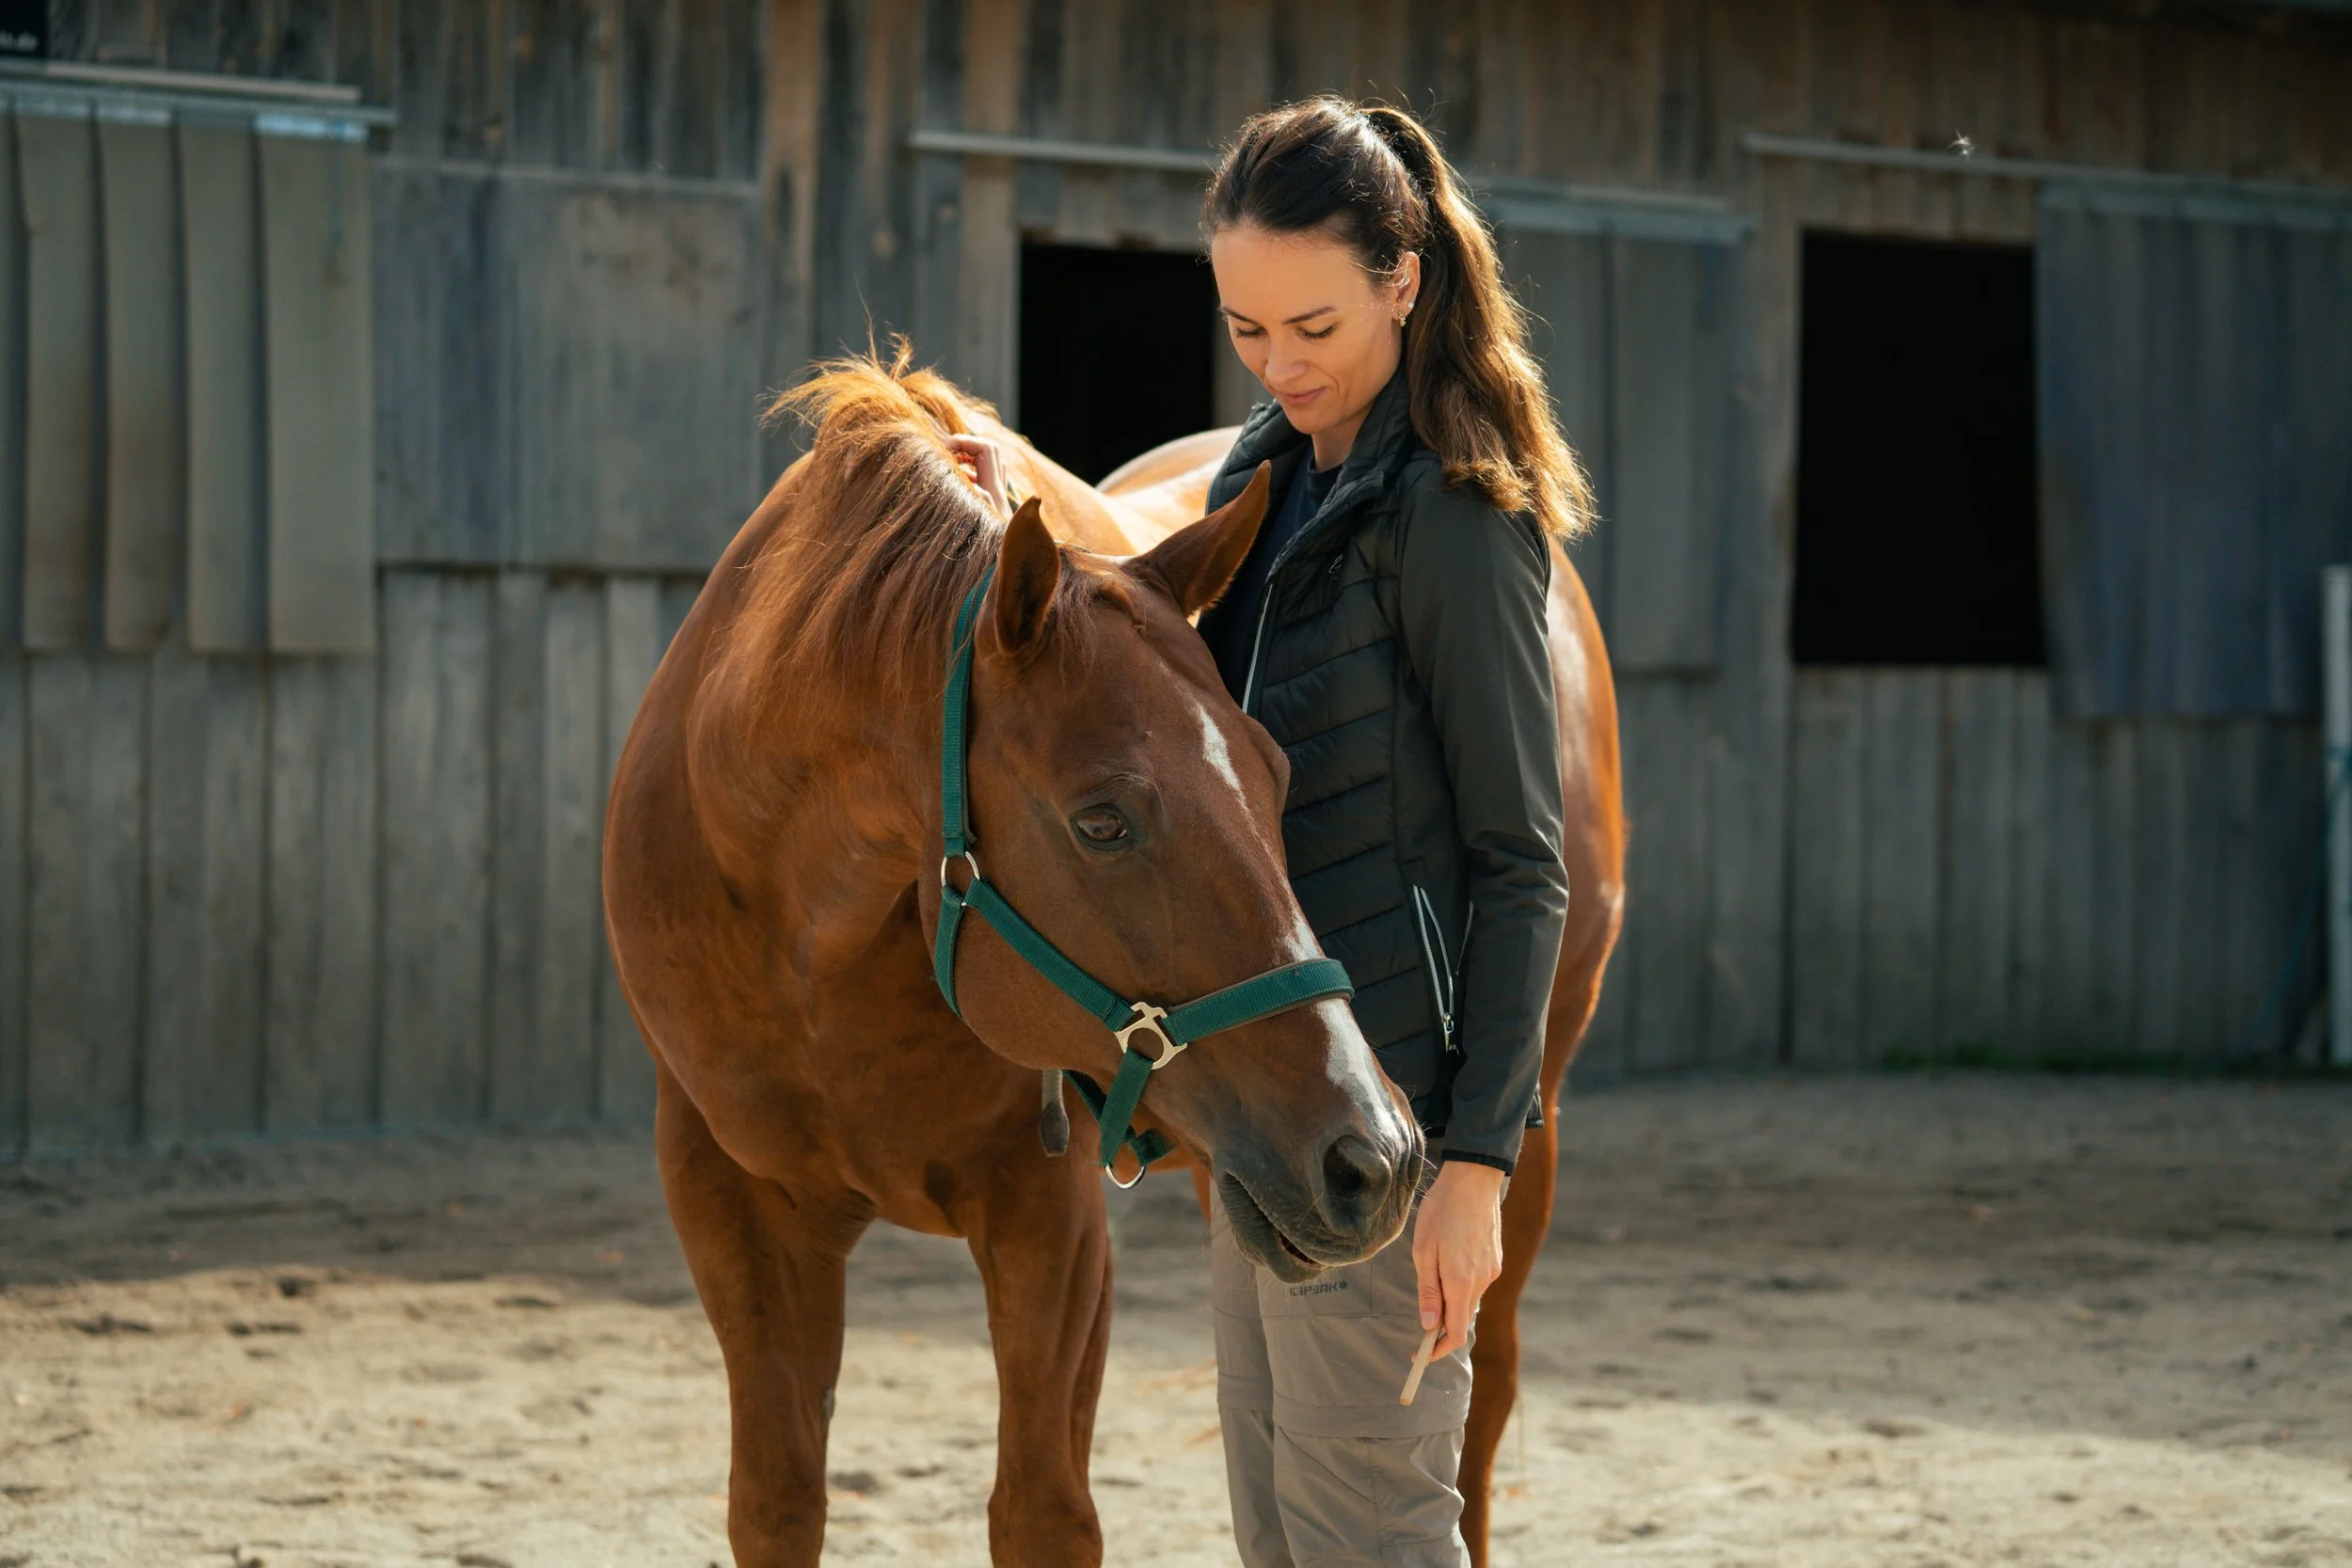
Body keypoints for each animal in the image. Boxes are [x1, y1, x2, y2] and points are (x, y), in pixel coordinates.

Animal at [601, 347, 1429, 1567]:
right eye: (1101, 821)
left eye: (1276, 776)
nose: (1374, 1153)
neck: (815, 946)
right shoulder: (728, 1199)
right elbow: (775, 1497)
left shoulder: (1050, 1215)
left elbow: (1041, 1509)